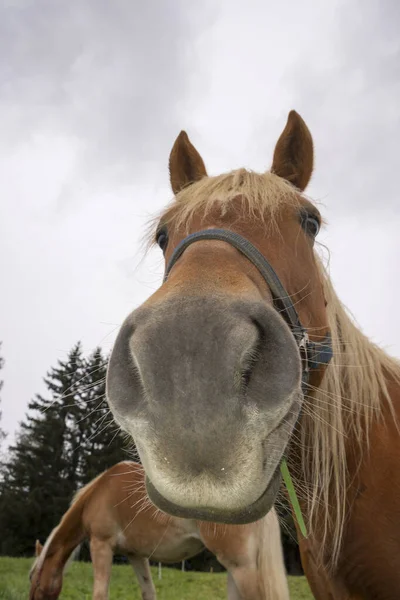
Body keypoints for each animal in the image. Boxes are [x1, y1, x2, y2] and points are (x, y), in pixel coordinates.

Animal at [28, 462, 290, 596]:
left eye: (33, 581)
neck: (98, 492)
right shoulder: (136, 556)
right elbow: (148, 591)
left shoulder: (101, 545)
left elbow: (100, 593)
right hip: (235, 569)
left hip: (242, 567)